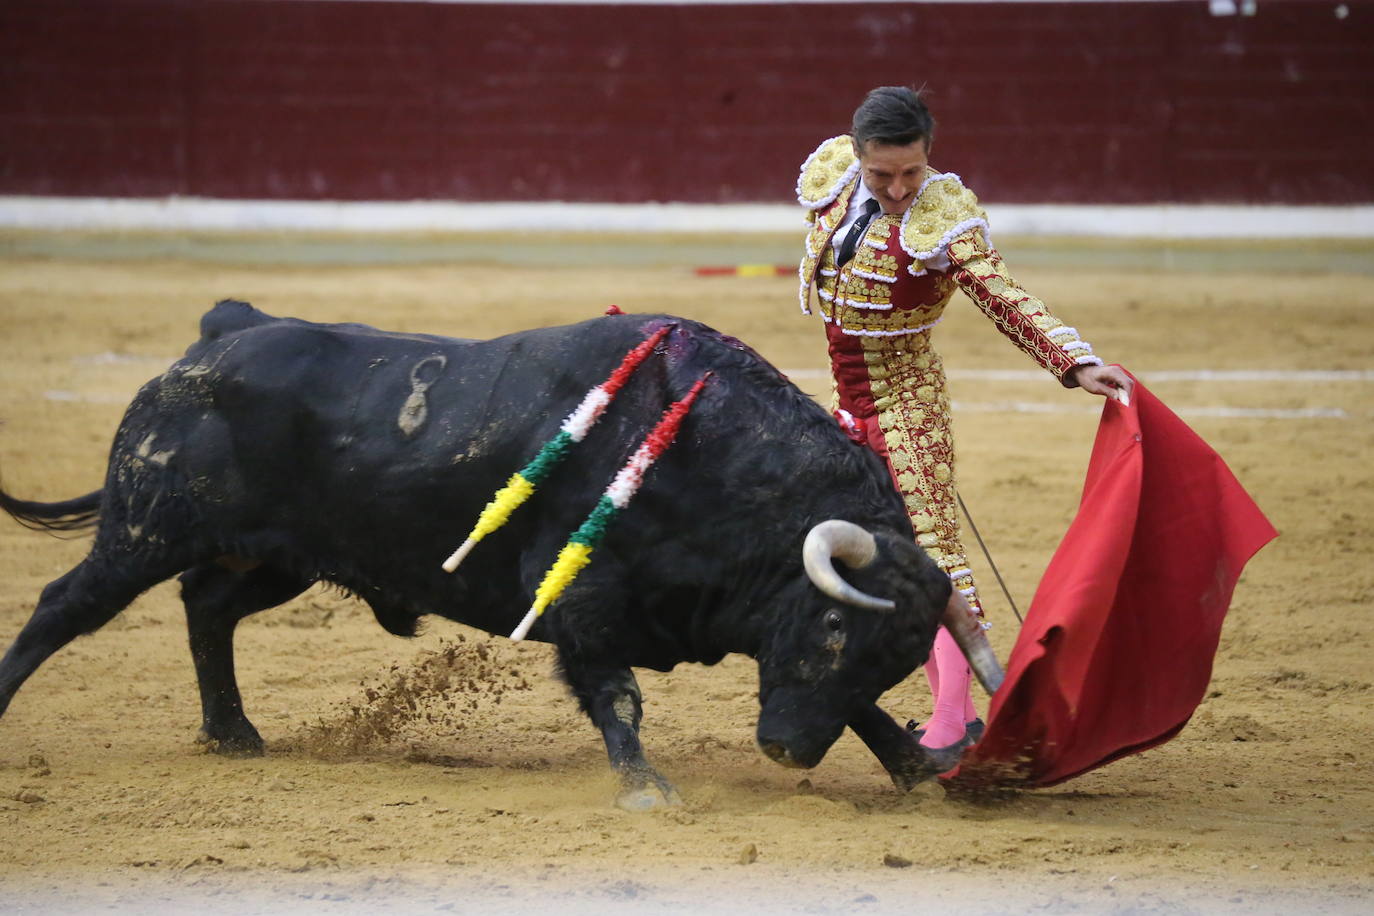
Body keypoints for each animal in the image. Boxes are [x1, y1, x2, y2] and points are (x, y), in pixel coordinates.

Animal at [0, 304, 1000, 807]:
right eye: (831, 624)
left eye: (896, 654)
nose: (787, 753)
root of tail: (212, 341)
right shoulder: (584, 600)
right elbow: (619, 695)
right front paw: (647, 791)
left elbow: (863, 711)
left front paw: (919, 769)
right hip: (144, 530)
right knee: (63, 606)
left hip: (276, 559)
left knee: (208, 607)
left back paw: (235, 734)